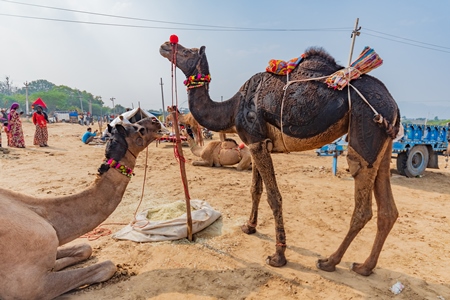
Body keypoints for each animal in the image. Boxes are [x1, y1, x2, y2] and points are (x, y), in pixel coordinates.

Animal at [0, 117, 162, 300]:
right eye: (139, 128)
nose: (155, 120)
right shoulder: (29, 287)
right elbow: (107, 266)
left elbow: (85, 248)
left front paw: (56, 264)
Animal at [160, 41, 400, 276]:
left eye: (186, 51)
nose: (165, 45)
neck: (232, 107)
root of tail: (393, 104)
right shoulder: (257, 142)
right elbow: (255, 190)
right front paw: (249, 227)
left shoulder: (256, 141)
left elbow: (274, 197)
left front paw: (278, 256)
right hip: (384, 145)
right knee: (388, 210)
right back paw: (365, 267)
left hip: (365, 131)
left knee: (362, 199)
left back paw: (330, 261)